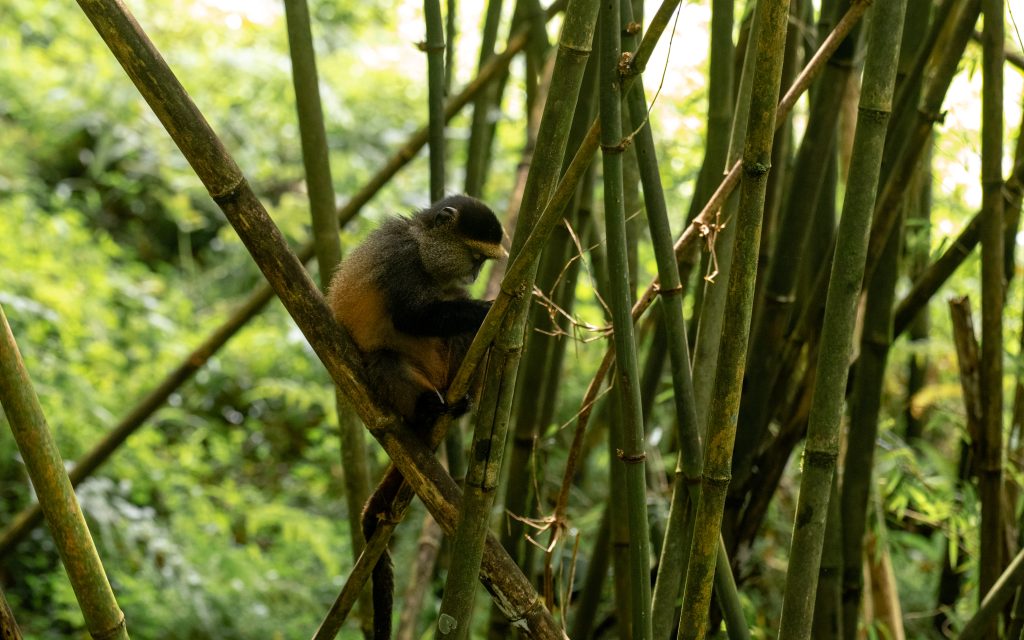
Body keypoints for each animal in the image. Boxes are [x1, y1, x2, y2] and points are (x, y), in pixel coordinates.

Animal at [326, 194, 505, 640]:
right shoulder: (400, 256)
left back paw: (461, 402)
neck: (424, 248)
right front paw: (488, 307)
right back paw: (427, 408)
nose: (476, 275)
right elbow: (410, 316)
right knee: (385, 361)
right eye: (476, 256)